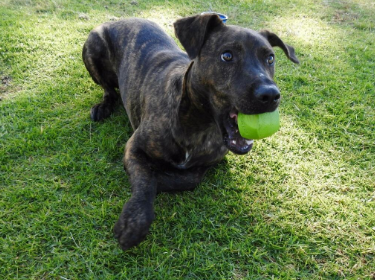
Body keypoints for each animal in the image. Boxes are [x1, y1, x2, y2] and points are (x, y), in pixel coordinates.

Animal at [82, 13, 300, 250]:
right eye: (227, 55)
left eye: (270, 59)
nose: (270, 95)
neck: (199, 126)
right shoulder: (134, 147)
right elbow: (143, 180)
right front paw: (134, 219)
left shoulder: (207, 164)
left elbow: (184, 179)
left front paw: (160, 177)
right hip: (92, 47)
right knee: (108, 89)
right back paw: (103, 106)